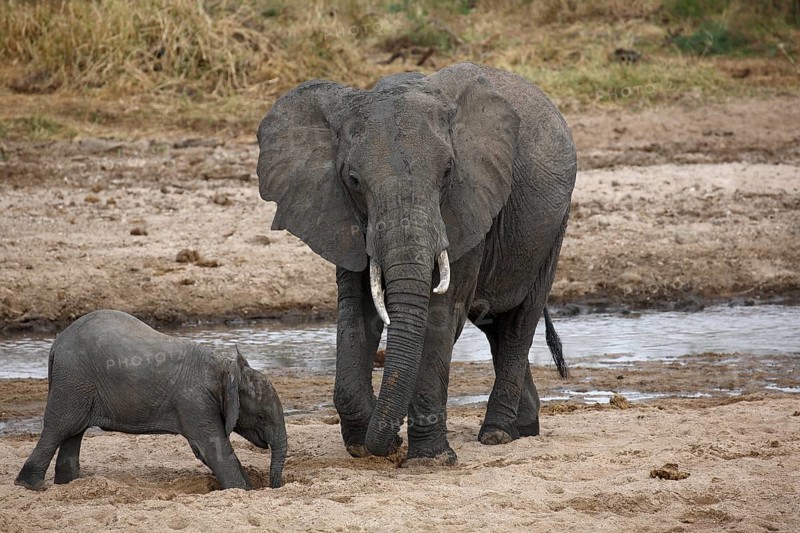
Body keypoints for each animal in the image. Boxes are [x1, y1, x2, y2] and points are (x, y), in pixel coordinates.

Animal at [14, 310, 287, 490]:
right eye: (261, 416)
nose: (273, 487)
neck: (225, 368)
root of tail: (56, 344)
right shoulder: (194, 401)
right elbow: (213, 448)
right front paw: (245, 490)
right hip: (73, 380)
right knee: (59, 428)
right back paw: (33, 486)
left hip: (78, 385)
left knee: (73, 432)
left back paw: (71, 484)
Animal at [256, 62, 575, 464]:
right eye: (353, 179)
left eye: (448, 172)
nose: (391, 444)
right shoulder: (341, 213)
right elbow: (357, 311)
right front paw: (366, 445)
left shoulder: (467, 204)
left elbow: (439, 314)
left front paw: (429, 460)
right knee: (494, 325)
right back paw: (523, 428)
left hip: (553, 227)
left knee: (519, 322)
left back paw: (497, 433)